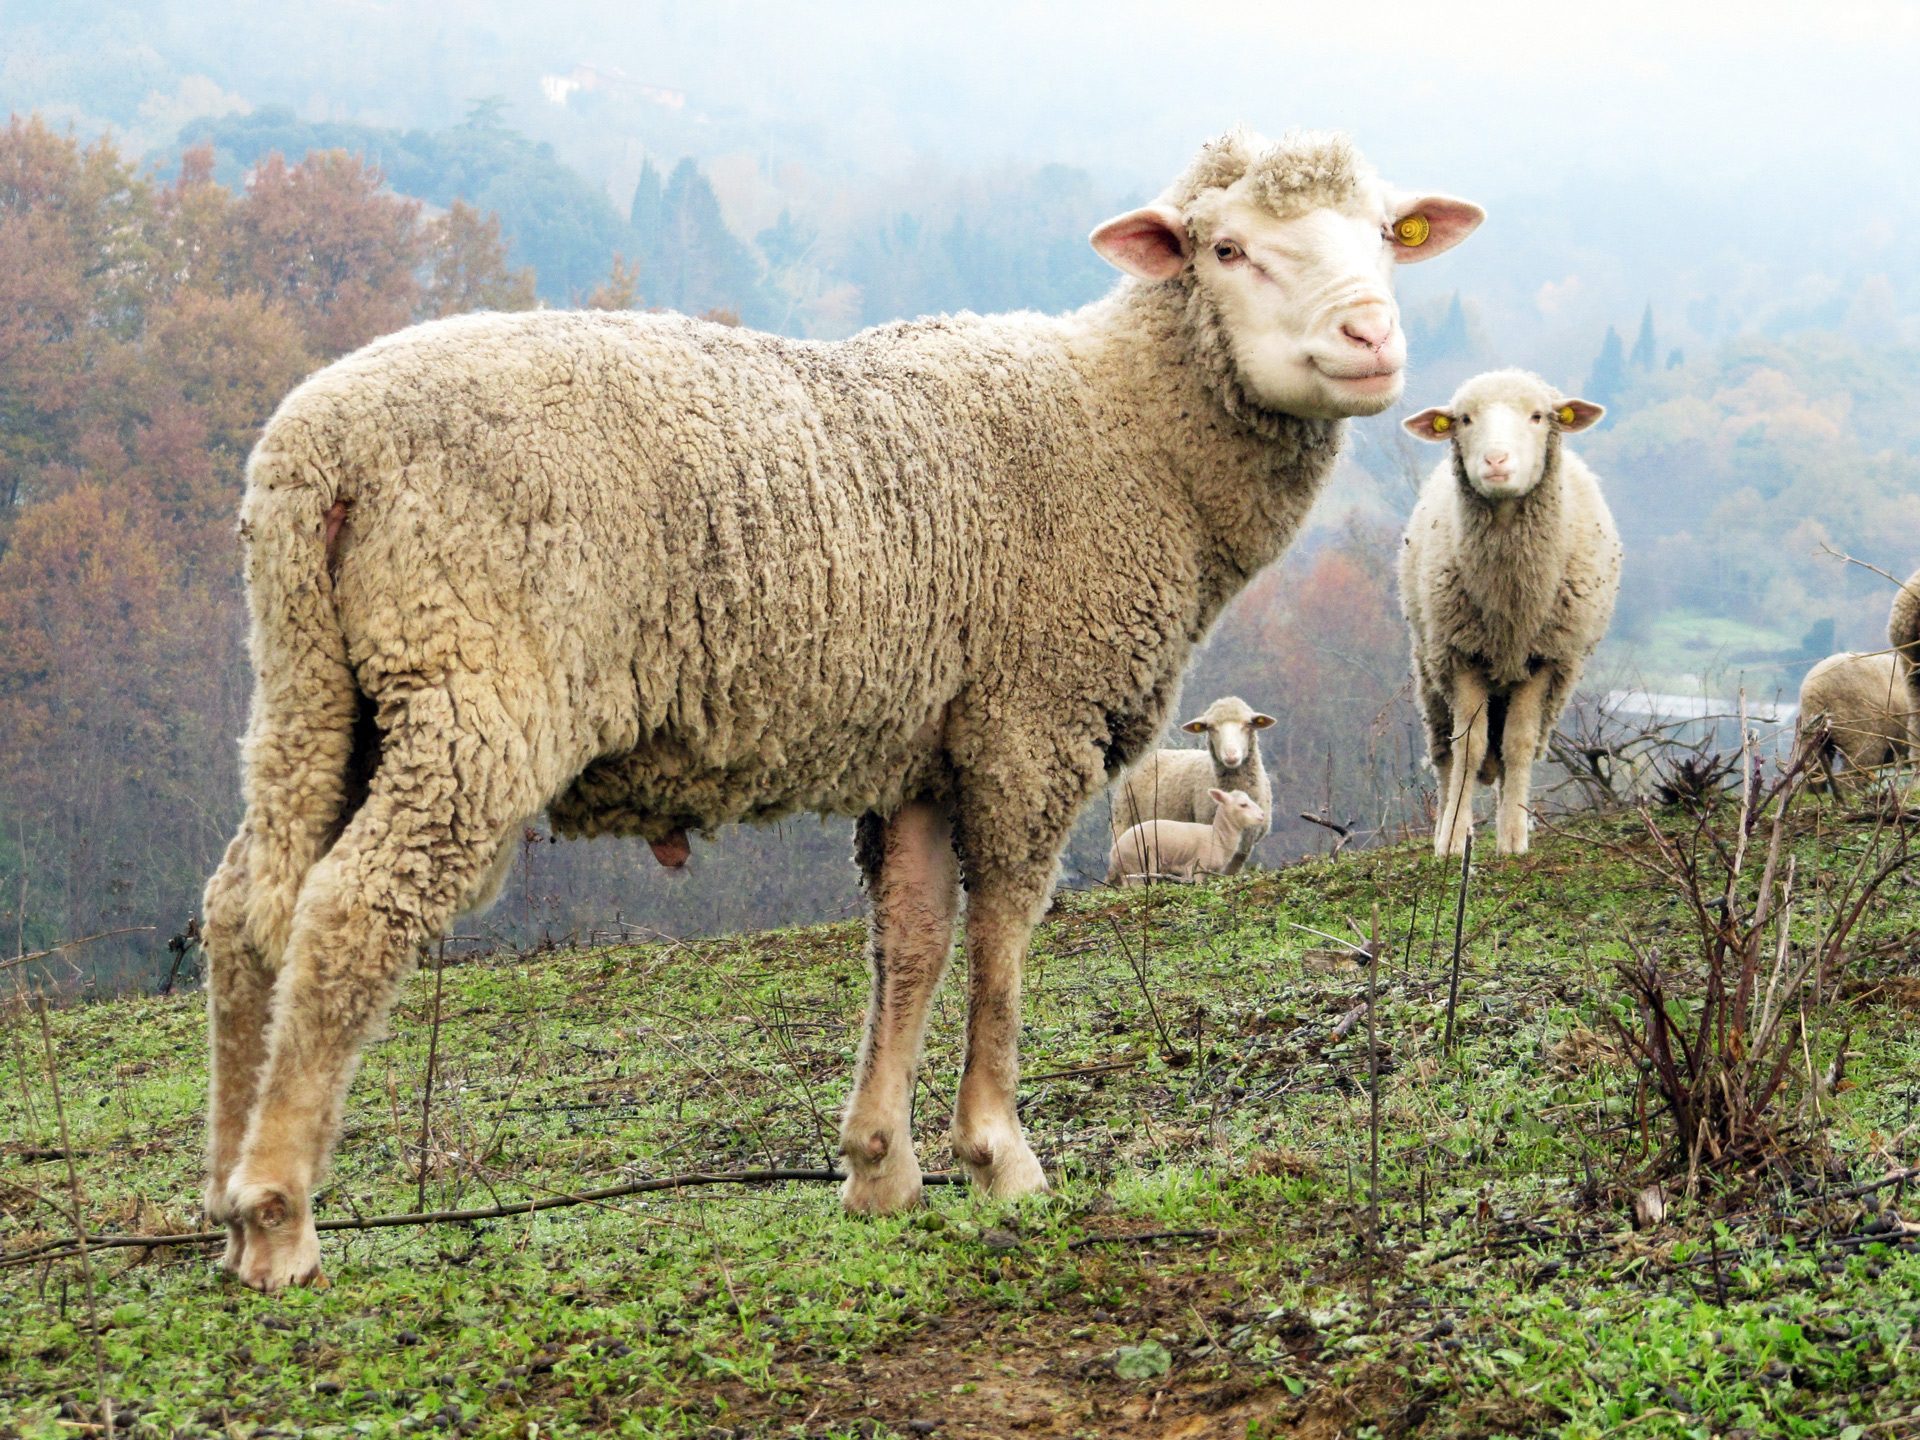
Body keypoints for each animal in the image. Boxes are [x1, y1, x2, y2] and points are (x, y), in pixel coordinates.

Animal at [1108, 788, 1266, 886]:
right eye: (1243, 805)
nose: (1262, 815)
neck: (1218, 836)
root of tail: (1113, 853)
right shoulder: (1195, 867)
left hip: (1128, 870)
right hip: (1141, 863)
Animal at [1110, 696, 1274, 873]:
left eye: (1248, 724)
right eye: (1211, 728)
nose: (1231, 756)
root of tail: (1152, 752)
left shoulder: (1243, 850)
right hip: (1123, 821)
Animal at [1399, 369, 1622, 857]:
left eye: (1538, 416)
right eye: (1464, 419)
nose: (1496, 460)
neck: (1509, 606)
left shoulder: (1544, 660)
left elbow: (1516, 745)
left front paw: (1514, 837)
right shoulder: (1461, 655)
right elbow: (1468, 747)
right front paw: (1452, 838)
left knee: (1504, 753)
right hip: (1429, 667)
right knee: (1445, 753)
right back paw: (1449, 824)